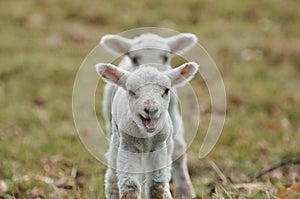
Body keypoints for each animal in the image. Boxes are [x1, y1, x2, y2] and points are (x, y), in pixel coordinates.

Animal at [102, 32, 198, 197]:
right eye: (134, 58)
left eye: (166, 57)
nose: (150, 109)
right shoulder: (128, 146)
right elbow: (130, 185)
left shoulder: (169, 131)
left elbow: (176, 153)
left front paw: (185, 191)